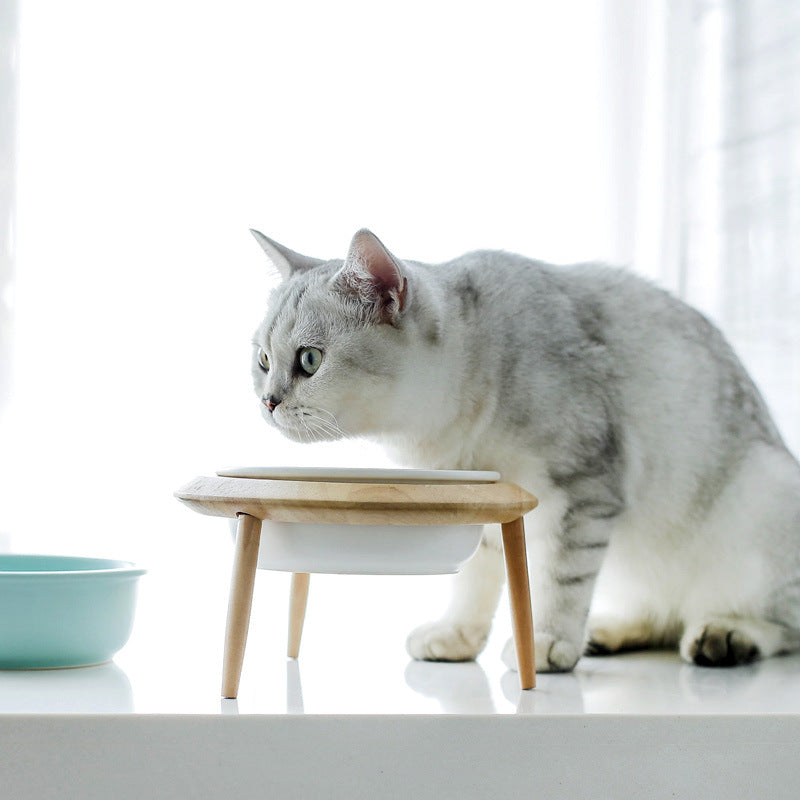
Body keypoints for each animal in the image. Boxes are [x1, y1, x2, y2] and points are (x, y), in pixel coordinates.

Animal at [247, 228, 800, 672]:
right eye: (263, 360)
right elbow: (473, 581)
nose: (267, 402)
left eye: (310, 360)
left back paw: (724, 634)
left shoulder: (584, 488)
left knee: (775, 624)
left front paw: (544, 642)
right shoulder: (477, 500)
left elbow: (559, 579)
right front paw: (458, 636)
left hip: (763, 502)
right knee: (659, 618)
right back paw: (604, 634)